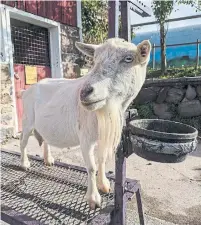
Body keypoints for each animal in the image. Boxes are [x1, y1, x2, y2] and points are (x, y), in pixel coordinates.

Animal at [20, 38, 151, 209]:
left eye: (128, 58)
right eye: (94, 59)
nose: (85, 92)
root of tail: (27, 90)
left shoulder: (101, 136)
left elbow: (101, 159)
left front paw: (104, 185)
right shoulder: (85, 137)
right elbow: (91, 166)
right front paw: (94, 199)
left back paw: (48, 160)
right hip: (27, 120)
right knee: (23, 141)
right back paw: (24, 163)